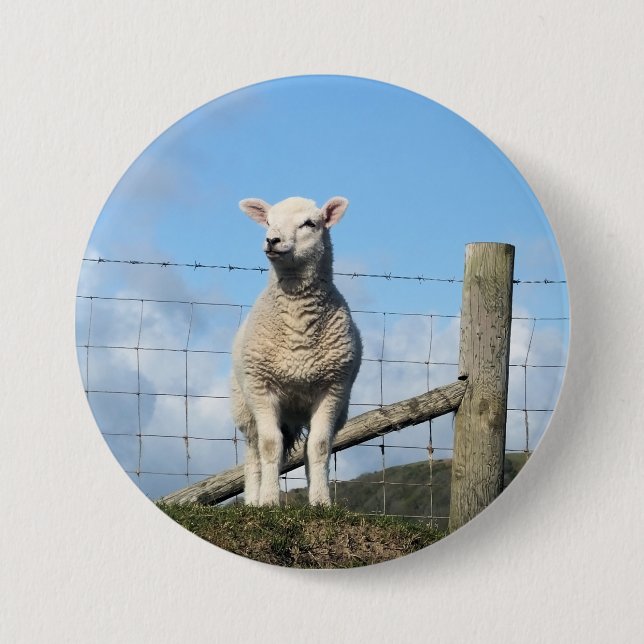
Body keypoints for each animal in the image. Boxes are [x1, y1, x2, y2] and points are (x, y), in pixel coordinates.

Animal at [231, 196, 362, 506]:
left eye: (309, 224)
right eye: (268, 221)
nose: (272, 240)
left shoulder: (333, 389)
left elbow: (320, 447)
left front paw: (322, 502)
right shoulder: (261, 387)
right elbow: (269, 446)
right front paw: (268, 501)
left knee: (306, 448)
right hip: (245, 406)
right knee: (254, 453)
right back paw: (253, 500)